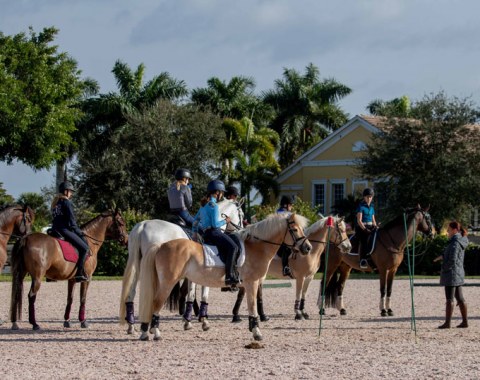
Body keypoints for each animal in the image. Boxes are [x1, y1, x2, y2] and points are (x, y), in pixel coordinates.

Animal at [118, 199, 242, 332]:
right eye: (241, 214)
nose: (240, 228)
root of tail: (143, 225)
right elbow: (196, 294)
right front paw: (199, 319)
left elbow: (190, 294)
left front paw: (190, 318)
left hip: (137, 267)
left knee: (131, 294)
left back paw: (132, 325)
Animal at [138, 214, 312, 342]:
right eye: (295, 229)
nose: (308, 248)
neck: (257, 247)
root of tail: (161, 245)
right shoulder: (252, 283)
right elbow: (252, 305)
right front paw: (256, 331)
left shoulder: (250, 284)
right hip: (168, 282)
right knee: (156, 303)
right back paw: (154, 333)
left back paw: (147, 331)